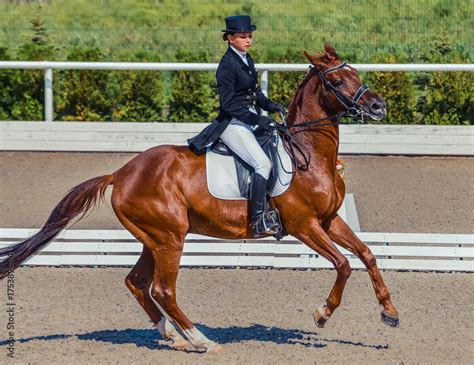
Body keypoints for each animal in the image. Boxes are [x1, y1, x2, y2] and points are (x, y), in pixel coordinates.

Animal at [0, 43, 398, 352]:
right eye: (337, 81)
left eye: (356, 73)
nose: (379, 107)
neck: (309, 154)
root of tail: (122, 173)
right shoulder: (304, 225)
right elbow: (343, 264)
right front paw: (322, 314)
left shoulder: (329, 220)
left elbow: (367, 254)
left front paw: (389, 312)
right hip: (169, 238)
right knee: (162, 289)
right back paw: (200, 340)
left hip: (156, 238)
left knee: (137, 282)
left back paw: (171, 336)